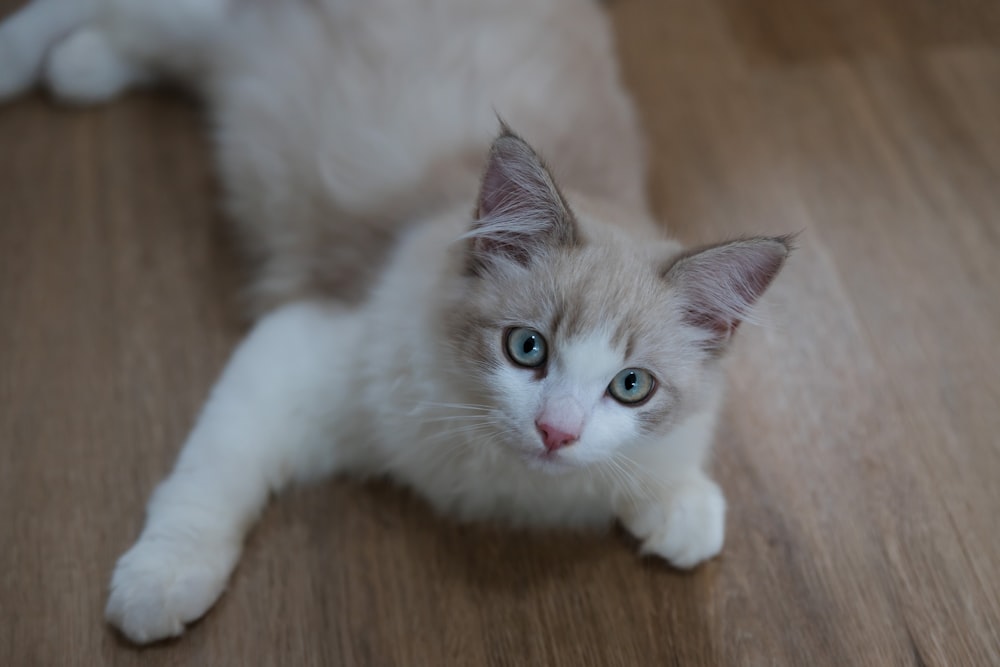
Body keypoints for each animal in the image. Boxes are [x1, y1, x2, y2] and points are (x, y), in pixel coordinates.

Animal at [1, 0, 796, 648]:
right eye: (527, 348)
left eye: (631, 386)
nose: (556, 432)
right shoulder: (301, 346)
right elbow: (209, 477)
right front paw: (161, 581)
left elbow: (673, 475)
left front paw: (682, 508)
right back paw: (31, 61)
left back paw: (81, 64)